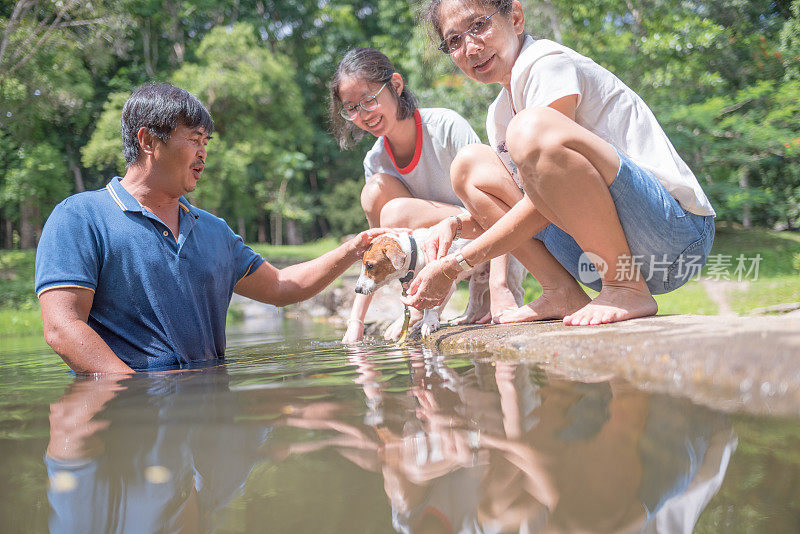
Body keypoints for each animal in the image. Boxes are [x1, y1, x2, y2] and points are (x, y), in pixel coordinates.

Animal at [354, 229, 524, 340]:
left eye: (370, 265)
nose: (357, 289)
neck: (416, 253)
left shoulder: (442, 286)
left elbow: (432, 308)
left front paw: (429, 324)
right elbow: (426, 307)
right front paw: (423, 322)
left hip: (511, 273)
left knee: (519, 292)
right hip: (477, 281)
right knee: (475, 304)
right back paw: (463, 319)